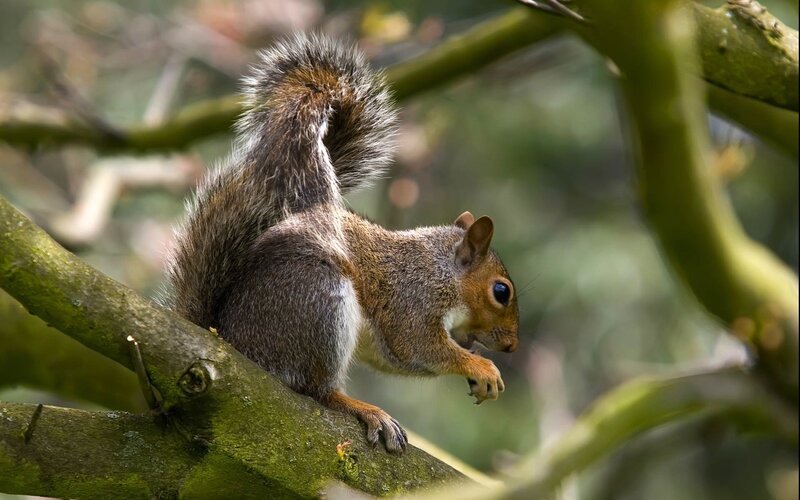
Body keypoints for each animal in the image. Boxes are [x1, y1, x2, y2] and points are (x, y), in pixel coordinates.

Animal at [165, 34, 519, 454]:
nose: (512, 347)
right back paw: (361, 407)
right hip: (319, 302)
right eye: (501, 291)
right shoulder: (413, 300)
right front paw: (480, 365)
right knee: (316, 390)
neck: (440, 269)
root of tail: (230, 340)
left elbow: (398, 357)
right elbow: (418, 347)